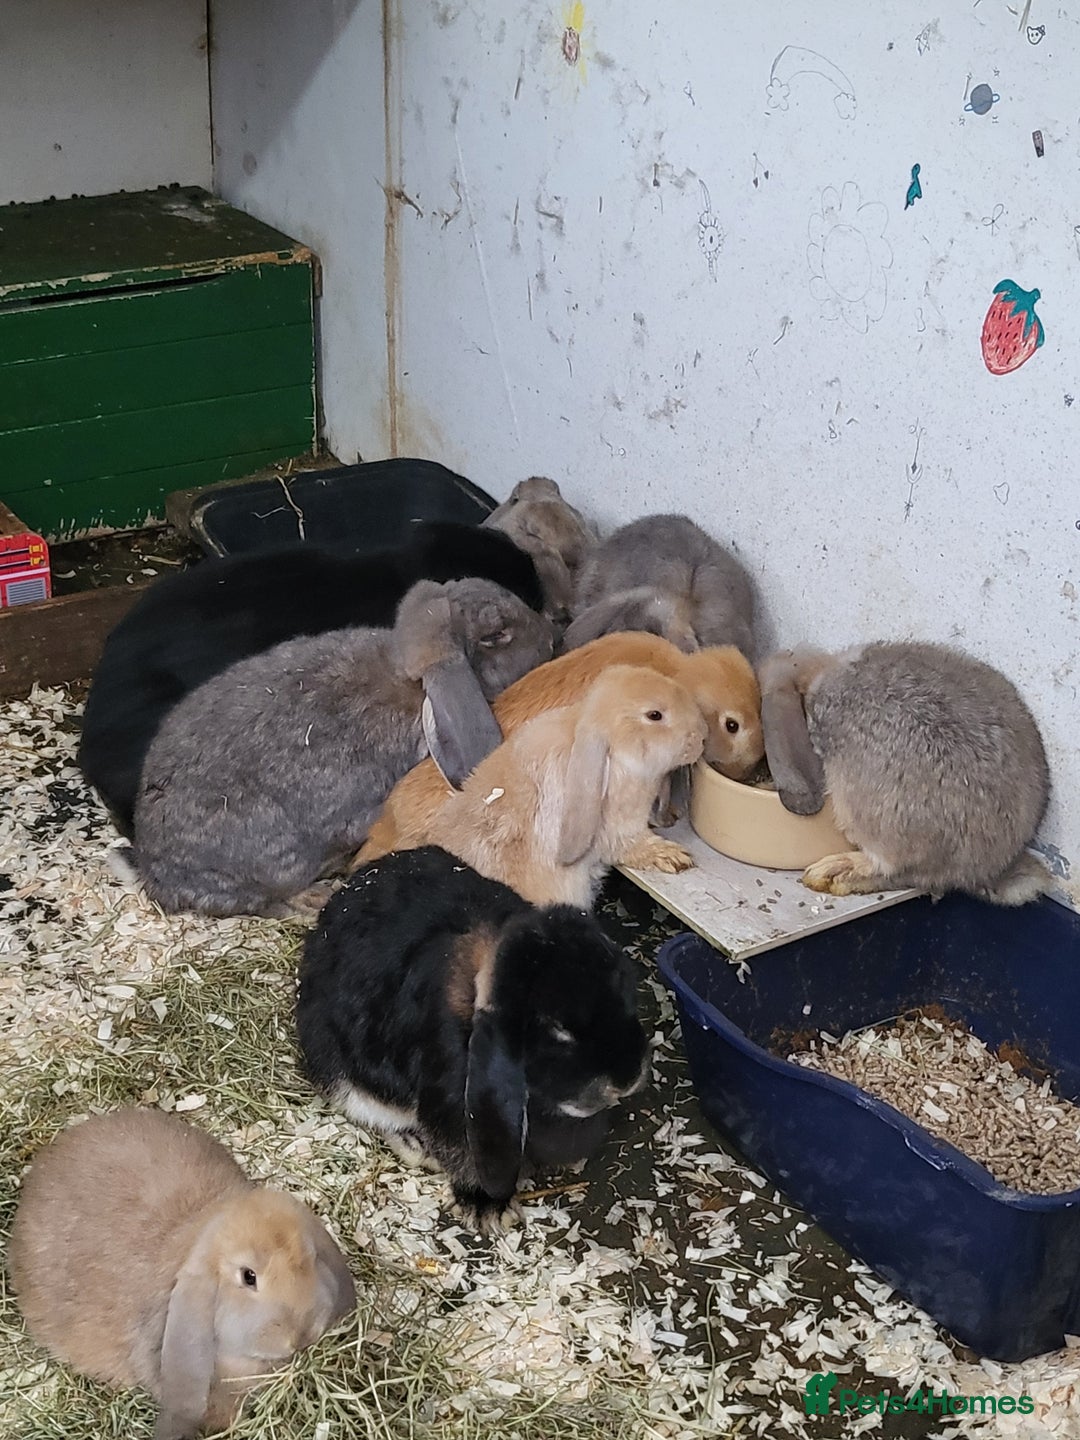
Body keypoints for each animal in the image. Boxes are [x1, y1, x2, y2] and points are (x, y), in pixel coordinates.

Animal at [296, 845, 649, 1232]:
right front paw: (488, 1209)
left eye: (628, 996)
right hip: (345, 1080)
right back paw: (413, 1143)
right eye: (559, 1030)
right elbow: (462, 1153)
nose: (627, 1082)